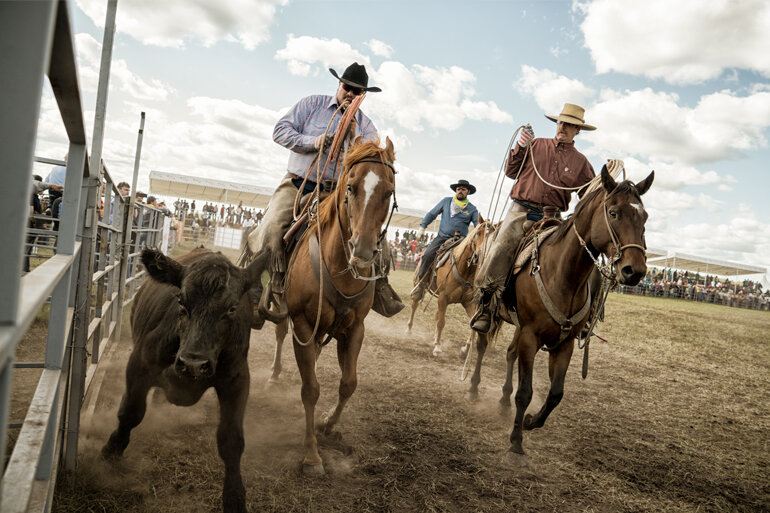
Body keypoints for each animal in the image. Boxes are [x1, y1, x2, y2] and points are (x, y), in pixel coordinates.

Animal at [284, 135, 400, 472]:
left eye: (388, 191)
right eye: (351, 186)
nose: (362, 251)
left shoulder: (355, 328)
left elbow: (348, 383)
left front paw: (327, 426)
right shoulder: (301, 324)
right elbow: (310, 389)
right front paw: (311, 454)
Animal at [484, 166, 652, 454]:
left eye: (644, 216)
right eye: (613, 212)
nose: (635, 271)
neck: (562, 275)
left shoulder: (565, 343)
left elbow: (555, 394)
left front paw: (530, 422)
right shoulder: (530, 336)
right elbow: (525, 392)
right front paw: (516, 441)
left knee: (509, 354)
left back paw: (504, 401)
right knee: (480, 344)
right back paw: (473, 387)